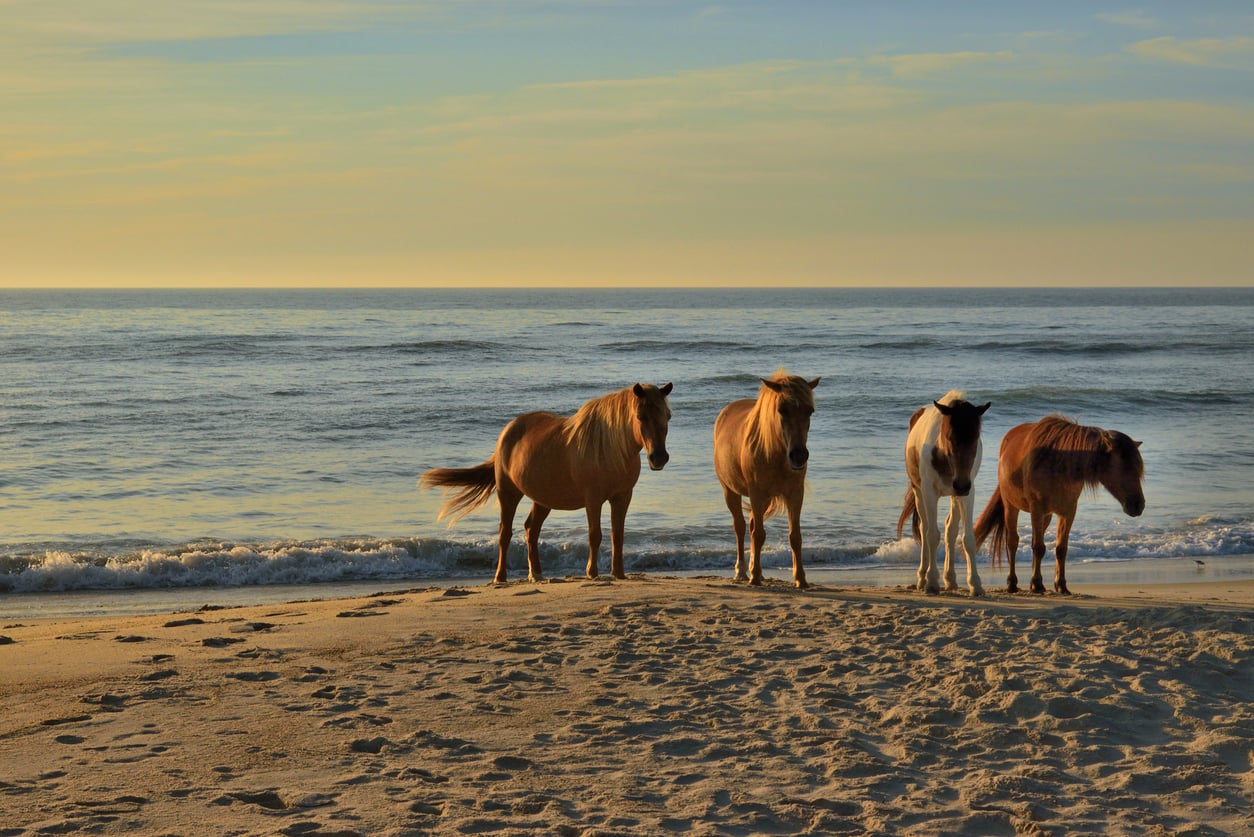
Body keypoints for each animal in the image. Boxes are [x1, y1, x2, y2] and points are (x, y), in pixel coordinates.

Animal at [419, 382, 673, 584]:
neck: (610, 448)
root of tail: (507, 432)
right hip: (508, 493)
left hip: (542, 500)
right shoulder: (593, 499)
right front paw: (592, 573)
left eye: (667, 416)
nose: (659, 458)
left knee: (531, 529)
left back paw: (537, 574)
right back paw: (500, 577)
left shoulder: (622, 497)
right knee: (505, 533)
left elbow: (617, 535)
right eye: (640, 416)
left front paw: (618, 574)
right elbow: (595, 535)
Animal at [713, 370, 820, 589]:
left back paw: (758, 571)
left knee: (752, 525)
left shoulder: (795, 494)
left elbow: (795, 536)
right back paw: (742, 571)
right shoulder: (757, 493)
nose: (799, 456)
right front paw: (753, 577)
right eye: (782, 410)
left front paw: (801, 579)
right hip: (731, 492)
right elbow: (758, 534)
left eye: (810, 411)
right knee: (740, 527)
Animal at [896, 391, 991, 596]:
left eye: (975, 439)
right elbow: (932, 535)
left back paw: (950, 579)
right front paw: (932, 581)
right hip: (919, 493)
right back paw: (922, 577)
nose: (961, 484)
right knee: (924, 528)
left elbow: (967, 538)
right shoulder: (929, 492)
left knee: (950, 530)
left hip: (955, 496)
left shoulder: (967, 494)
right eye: (949, 437)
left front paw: (975, 584)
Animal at [974, 414, 1145, 595]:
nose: (1138, 505)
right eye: (1123, 467)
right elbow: (1038, 547)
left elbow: (1060, 549)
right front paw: (1037, 584)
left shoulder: (1068, 511)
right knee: (1013, 542)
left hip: (1047, 516)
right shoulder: (1037, 509)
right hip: (1011, 506)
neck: (1058, 463)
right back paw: (1012, 583)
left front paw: (1060, 585)